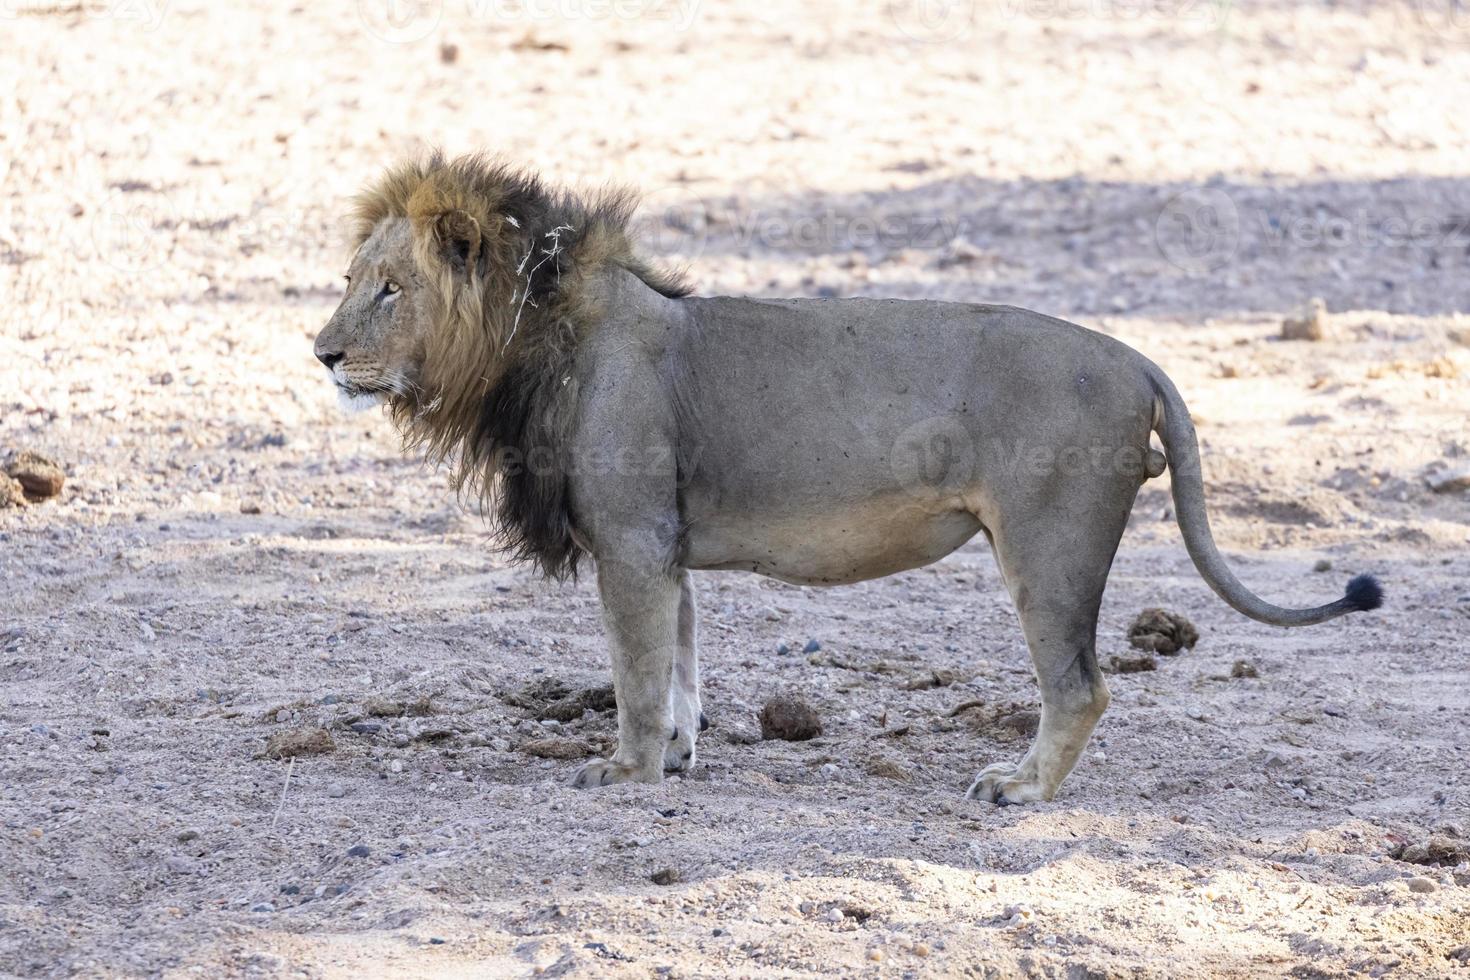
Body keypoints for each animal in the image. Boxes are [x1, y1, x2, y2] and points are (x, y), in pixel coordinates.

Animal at [316, 155, 1381, 805]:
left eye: (390, 290)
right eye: (347, 281)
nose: (321, 354)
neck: (533, 338)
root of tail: (1139, 360)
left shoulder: (630, 541)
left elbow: (636, 673)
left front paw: (624, 772)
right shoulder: (663, 547)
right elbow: (682, 660)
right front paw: (676, 757)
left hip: (1051, 545)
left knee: (1080, 687)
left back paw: (1018, 789)